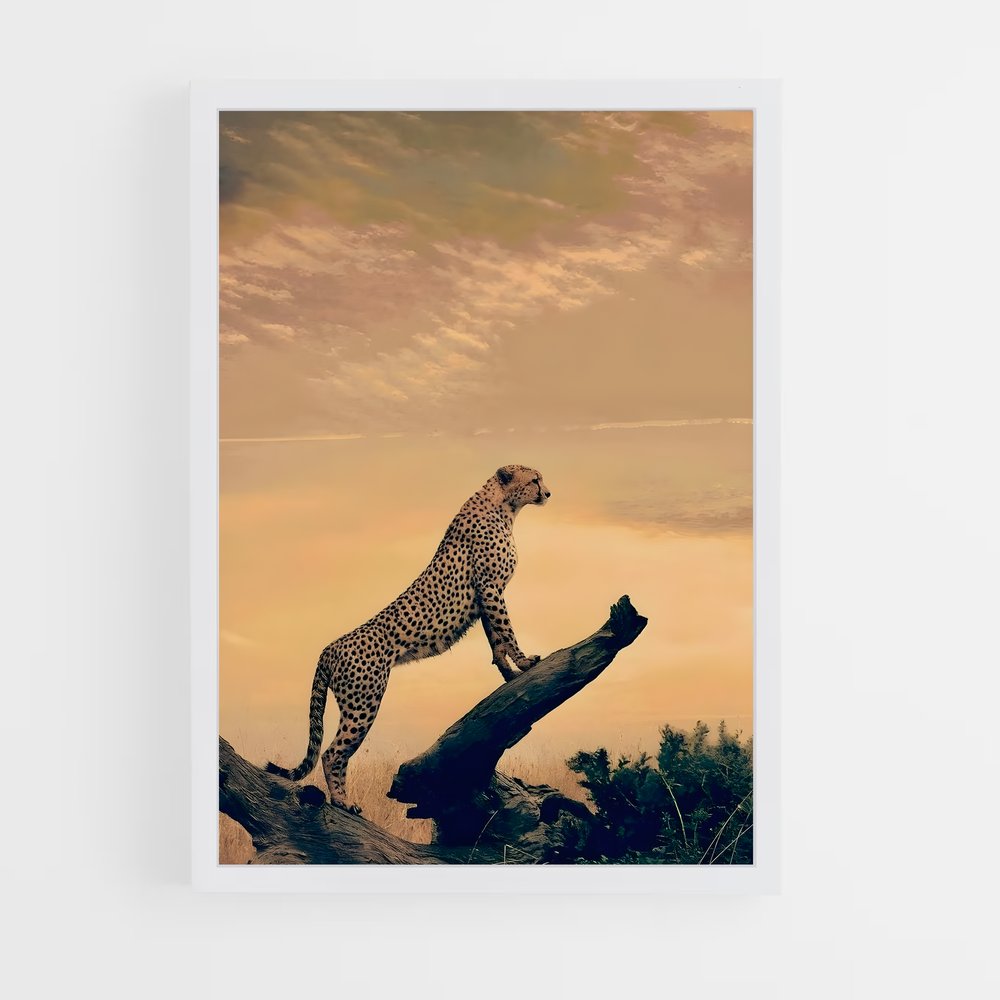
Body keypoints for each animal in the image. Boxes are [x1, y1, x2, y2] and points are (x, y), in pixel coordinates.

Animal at [265, 463, 552, 812]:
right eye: (534, 479)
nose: (548, 492)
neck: (504, 507)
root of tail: (329, 647)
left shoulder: (486, 596)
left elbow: (495, 639)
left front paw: (509, 673)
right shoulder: (490, 587)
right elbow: (507, 630)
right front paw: (525, 662)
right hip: (364, 702)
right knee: (333, 753)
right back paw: (342, 801)